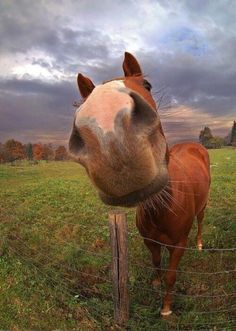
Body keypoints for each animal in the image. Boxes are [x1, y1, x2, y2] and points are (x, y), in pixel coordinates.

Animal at [69, 52, 211, 316]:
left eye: (147, 85)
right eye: (81, 104)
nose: (110, 136)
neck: (163, 208)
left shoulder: (178, 245)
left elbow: (171, 277)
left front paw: (166, 308)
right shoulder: (150, 241)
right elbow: (156, 263)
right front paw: (155, 282)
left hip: (203, 208)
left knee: (200, 222)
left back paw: (199, 244)